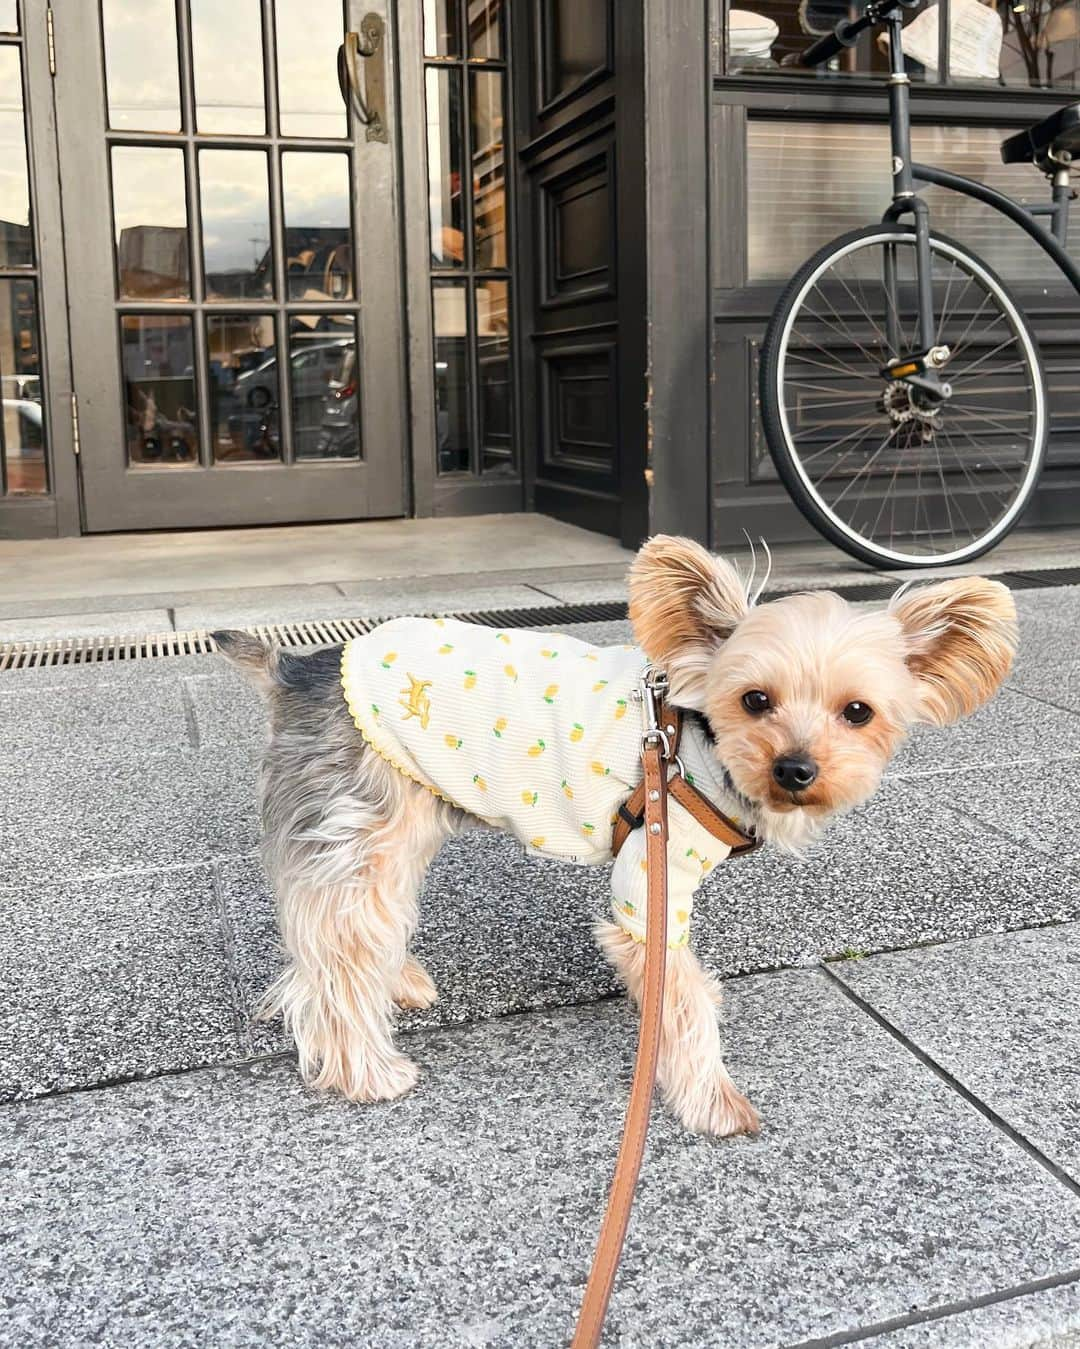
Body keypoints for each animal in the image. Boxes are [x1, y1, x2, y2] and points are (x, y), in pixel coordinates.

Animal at [214, 536, 1013, 1138]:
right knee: (339, 950)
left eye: (858, 712)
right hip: (364, 821)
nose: (795, 768)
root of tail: (299, 666)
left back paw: (399, 982)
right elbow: (680, 995)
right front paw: (712, 1098)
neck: (695, 738)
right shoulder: (653, 876)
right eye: (755, 700)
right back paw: (369, 1070)